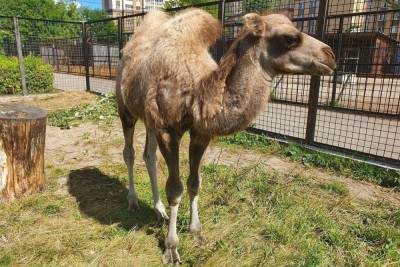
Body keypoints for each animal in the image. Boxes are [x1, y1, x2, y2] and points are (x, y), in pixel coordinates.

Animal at [115, 7, 334, 264]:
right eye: (290, 38)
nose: (330, 55)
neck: (197, 96)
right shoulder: (168, 131)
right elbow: (176, 190)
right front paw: (171, 248)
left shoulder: (200, 133)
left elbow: (195, 183)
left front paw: (197, 232)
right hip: (126, 110)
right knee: (129, 152)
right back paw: (133, 201)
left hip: (149, 121)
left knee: (148, 156)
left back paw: (158, 210)